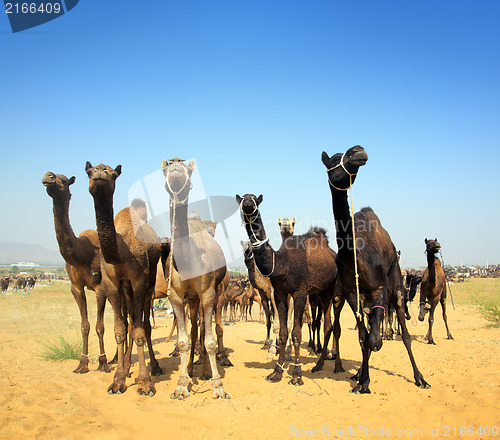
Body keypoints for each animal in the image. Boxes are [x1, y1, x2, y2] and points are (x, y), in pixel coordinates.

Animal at [42, 170, 111, 372]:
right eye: (52, 176)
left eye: (64, 181)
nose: (48, 176)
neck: (81, 254)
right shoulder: (76, 287)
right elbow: (84, 325)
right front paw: (82, 363)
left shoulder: (100, 287)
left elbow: (100, 326)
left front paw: (103, 362)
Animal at [85, 163, 165, 398]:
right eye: (89, 171)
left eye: (113, 173)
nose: (100, 172)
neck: (121, 252)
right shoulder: (112, 284)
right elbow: (120, 330)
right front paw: (118, 379)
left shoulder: (139, 281)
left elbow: (139, 330)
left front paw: (145, 383)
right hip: (126, 289)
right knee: (130, 319)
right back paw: (129, 366)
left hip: (148, 284)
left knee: (144, 324)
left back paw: (154, 367)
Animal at [162, 157, 229, 398]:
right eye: (165, 167)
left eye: (188, 169)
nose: (175, 166)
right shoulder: (175, 295)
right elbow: (183, 340)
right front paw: (181, 384)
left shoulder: (208, 292)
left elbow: (209, 340)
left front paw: (218, 385)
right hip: (191, 298)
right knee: (193, 329)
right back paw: (191, 368)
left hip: (210, 294)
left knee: (206, 329)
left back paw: (207, 370)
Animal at [235, 193, 338, 384]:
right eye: (242, 198)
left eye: (255, 199)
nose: (247, 204)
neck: (281, 264)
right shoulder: (280, 294)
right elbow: (282, 332)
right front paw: (277, 372)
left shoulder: (300, 293)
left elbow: (296, 333)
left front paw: (297, 375)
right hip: (319, 292)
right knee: (327, 323)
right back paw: (321, 361)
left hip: (332, 289)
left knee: (330, 323)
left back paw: (328, 360)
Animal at [322, 146, 432, 394]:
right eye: (334, 160)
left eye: (348, 154)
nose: (358, 151)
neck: (353, 252)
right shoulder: (352, 292)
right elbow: (364, 338)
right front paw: (362, 380)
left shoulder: (380, 286)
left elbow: (375, 340)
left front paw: (365, 381)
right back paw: (359, 374)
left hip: (397, 285)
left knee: (405, 333)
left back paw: (420, 377)